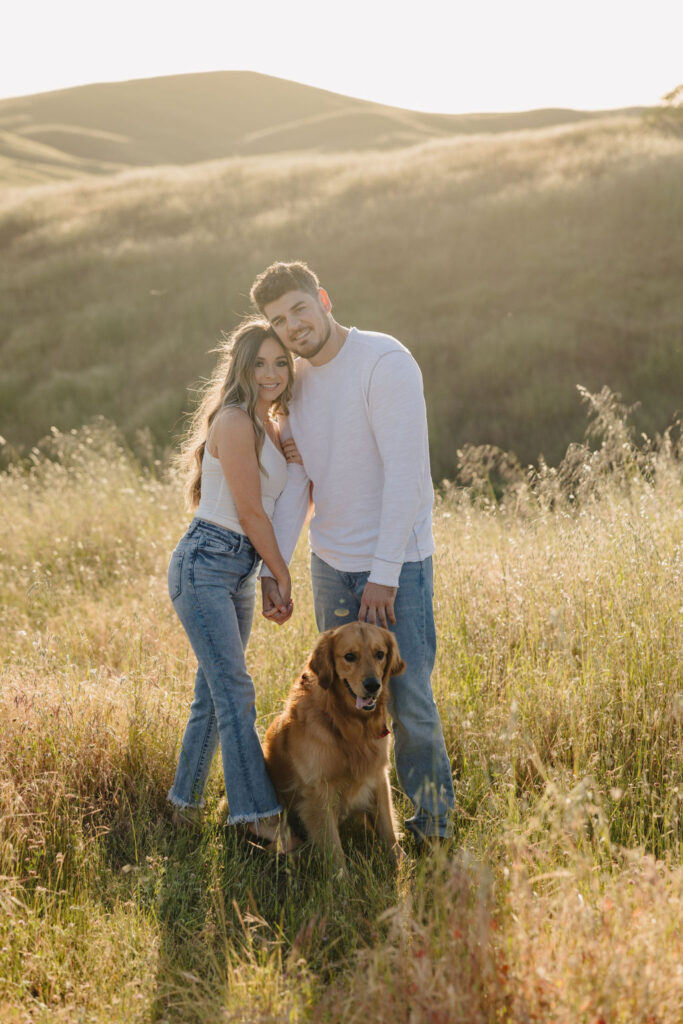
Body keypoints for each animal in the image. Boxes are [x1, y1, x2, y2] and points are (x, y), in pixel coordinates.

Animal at [264, 618, 405, 868]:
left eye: (380, 654)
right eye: (349, 656)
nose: (373, 685)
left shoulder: (378, 776)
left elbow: (388, 828)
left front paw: (400, 865)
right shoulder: (318, 793)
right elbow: (334, 850)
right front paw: (341, 878)